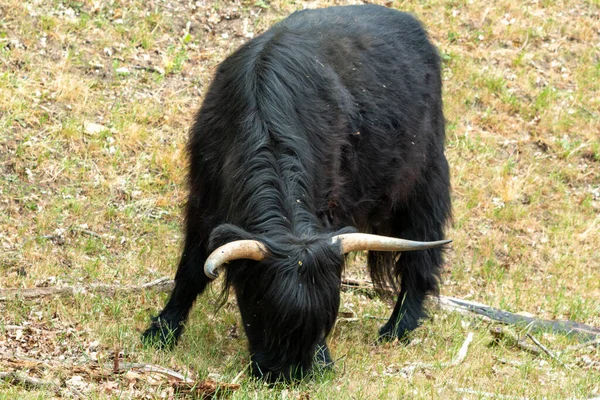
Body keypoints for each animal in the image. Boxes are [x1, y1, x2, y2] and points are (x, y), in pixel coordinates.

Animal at [142, 5, 450, 382]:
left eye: (322, 322)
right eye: (260, 311)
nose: (285, 376)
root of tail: (408, 22)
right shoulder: (203, 202)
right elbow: (190, 268)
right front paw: (162, 330)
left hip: (424, 178)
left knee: (422, 253)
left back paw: (397, 328)